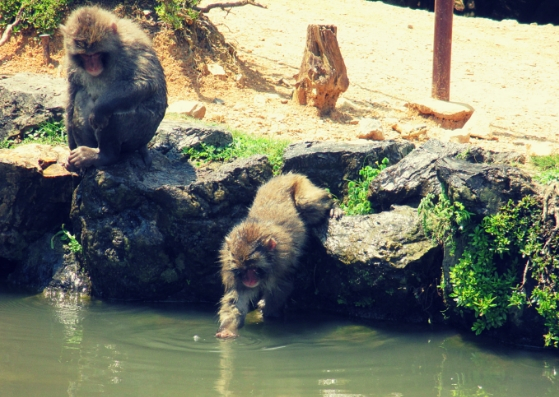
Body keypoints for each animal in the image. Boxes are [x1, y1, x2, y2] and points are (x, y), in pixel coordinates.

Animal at [60, 5, 168, 170]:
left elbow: (144, 83)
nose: (92, 66)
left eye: (96, 54)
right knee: (81, 97)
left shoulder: (133, 47)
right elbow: (72, 94)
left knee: (116, 114)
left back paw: (104, 156)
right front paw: (70, 149)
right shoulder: (71, 63)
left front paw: (100, 109)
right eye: (85, 56)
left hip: (139, 135)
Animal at [215, 172, 342, 338]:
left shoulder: (282, 263)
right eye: (242, 270)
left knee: (307, 202)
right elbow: (235, 300)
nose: (249, 280)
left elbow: (281, 288)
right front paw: (227, 331)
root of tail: (286, 175)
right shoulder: (230, 267)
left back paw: (333, 207)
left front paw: (267, 315)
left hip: (301, 185)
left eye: (253, 268)